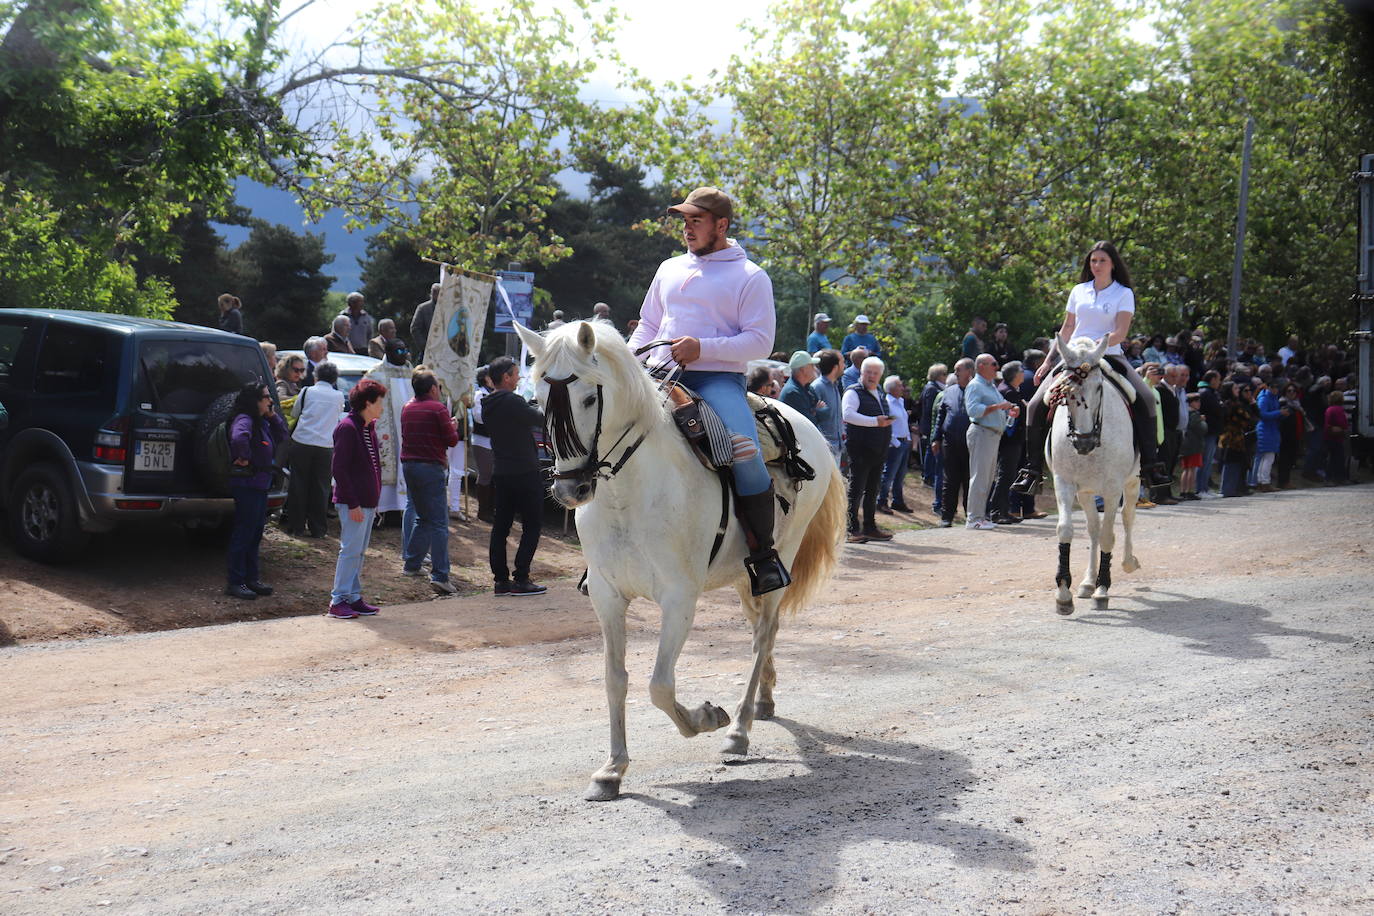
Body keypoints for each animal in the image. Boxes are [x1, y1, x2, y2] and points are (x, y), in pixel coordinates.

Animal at [513, 322, 840, 802]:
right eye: (536, 398)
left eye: (590, 397)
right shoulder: (607, 597)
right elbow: (616, 679)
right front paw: (611, 769)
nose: (570, 490)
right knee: (763, 631)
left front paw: (708, 717)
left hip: (782, 560)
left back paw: (739, 729)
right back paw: (763, 701)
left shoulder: (679, 600)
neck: (629, 494)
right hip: (744, 576)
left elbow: (659, 686)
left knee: (763, 635)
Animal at [1049, 336, 1137, 615]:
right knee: (1093, 529)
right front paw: (1064, 594)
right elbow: (1066, 530)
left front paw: (1103, 589)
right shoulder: (1064, 483)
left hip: (1133, 481)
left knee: (1127, 518)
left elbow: (1110, 535)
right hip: (1086, 492)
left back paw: (1128, 562)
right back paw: (1088, 582)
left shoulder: (1112, 489)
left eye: (1099, 388)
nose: (1084, 442)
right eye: (1065, 391)